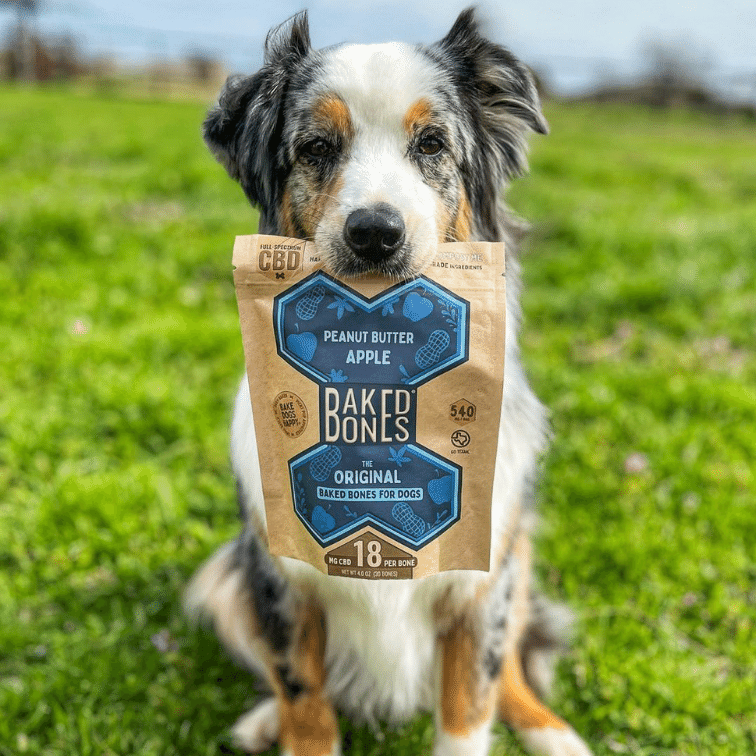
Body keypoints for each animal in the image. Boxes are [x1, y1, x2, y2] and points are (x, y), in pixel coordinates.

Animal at [186, 7, 592, 756]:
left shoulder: (482, 578)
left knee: (510, 670)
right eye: (317, 147)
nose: (375, 231)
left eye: (431, 143)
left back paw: (554, 734)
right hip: (228, 577)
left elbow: (470, 702)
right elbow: (304, 698)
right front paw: (289, 723)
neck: (377, 389)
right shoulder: (278, 576)